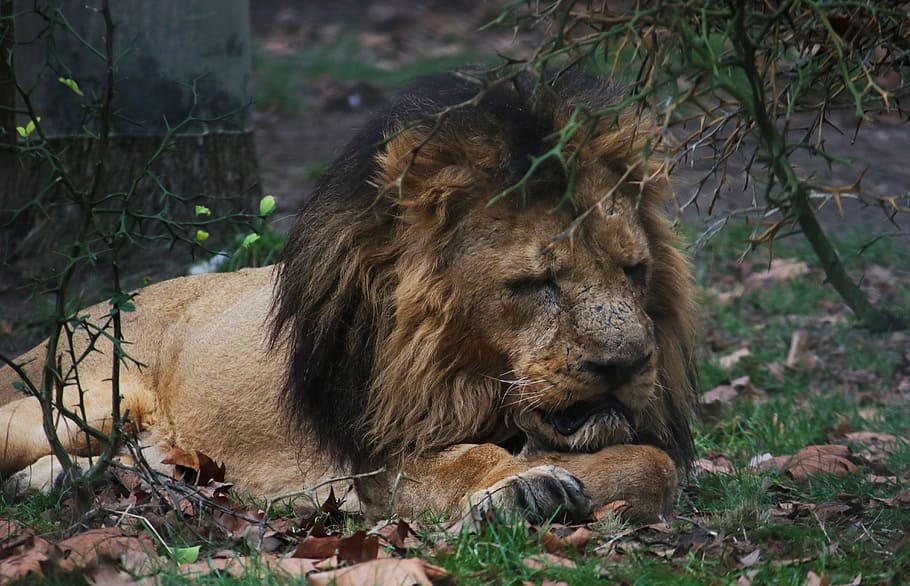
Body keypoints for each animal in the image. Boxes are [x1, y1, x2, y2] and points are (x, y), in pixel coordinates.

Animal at [0, 71, 696, 524]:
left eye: (634, 271)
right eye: (537, 284)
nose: (627, 366)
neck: (467, 368)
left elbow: (653, 464)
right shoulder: (384, 461)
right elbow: (475, 461)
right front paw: (523, 489)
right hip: (95, 399)